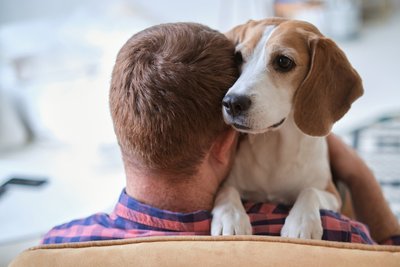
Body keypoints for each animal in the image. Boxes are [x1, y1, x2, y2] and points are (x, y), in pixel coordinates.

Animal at [211, 18, 364, 241]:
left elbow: (309, 191)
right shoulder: (226, 183)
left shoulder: (332, 194)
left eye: (283, 62)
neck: (275, 147)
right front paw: (230, 218)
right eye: (238, 56)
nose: (232, 103)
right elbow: (227, 191)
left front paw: (300, 223)